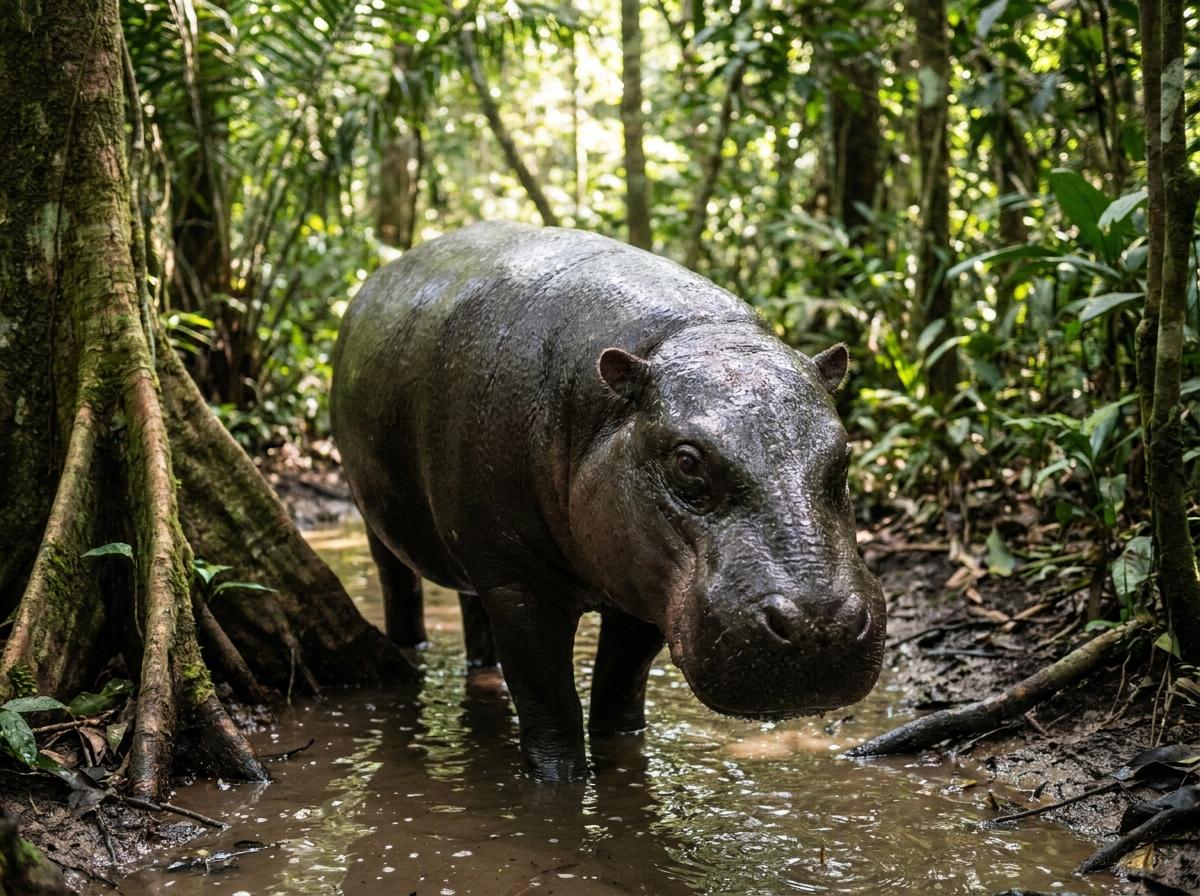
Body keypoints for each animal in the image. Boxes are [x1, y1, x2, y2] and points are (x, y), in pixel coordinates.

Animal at [330, 222, 885, 782]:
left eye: (845, 453)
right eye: (687, 462)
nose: (820, 624)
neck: (692, 337)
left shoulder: (644, 587)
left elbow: (620, 688)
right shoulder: (518, 582)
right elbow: (550, 706)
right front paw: (559, 782)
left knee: (472, 611)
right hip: (383, 523)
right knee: (399, 586)